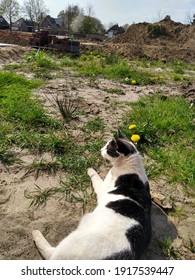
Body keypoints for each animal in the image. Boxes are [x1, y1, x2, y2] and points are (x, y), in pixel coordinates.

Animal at [32, 130, 152, 260]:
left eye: (108, 148)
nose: (101, 149)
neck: (131, 167)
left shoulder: (102, 188)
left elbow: (96, 177)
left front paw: (90, 169)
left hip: (74, 241)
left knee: (50, 253)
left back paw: (36, 234)